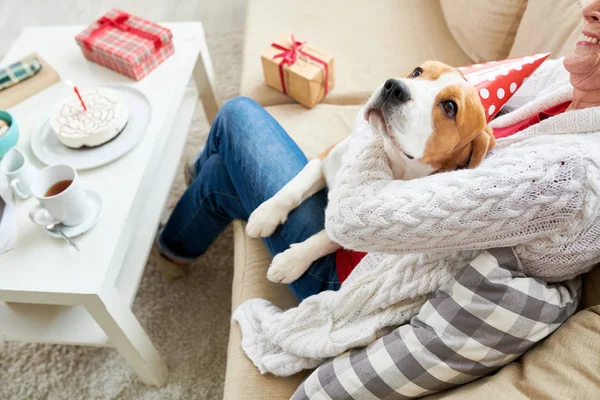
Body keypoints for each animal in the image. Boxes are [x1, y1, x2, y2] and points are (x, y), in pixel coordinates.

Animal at [245, 59, 496, 284]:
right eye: (417, 72)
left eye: (449, 107)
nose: (394, 87)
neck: (395, 160)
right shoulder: (324, 158)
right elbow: (293, 189)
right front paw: (266, 214)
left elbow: (329, 238)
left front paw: (292, 261)